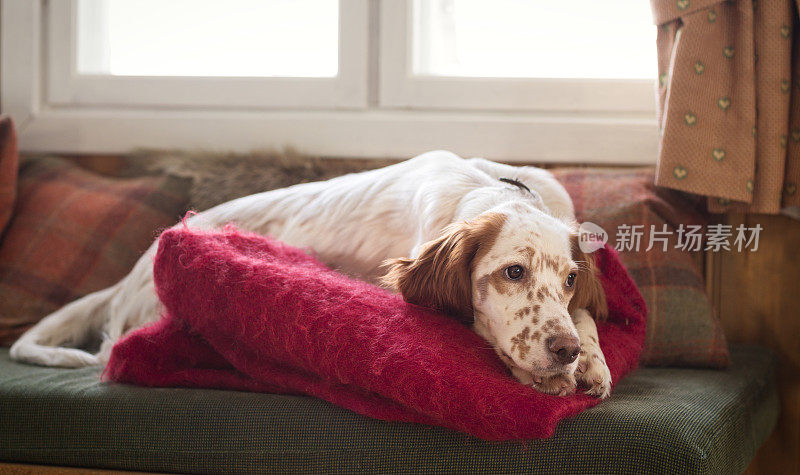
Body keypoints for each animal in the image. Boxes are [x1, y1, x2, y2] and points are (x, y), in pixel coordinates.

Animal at [9, 152, 612, 398]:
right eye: (513, 271)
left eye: (569, 280)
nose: (562, 352)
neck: (486, 186)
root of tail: (134, 270)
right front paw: (559, 372)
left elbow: (586, 317)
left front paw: (591, 359)